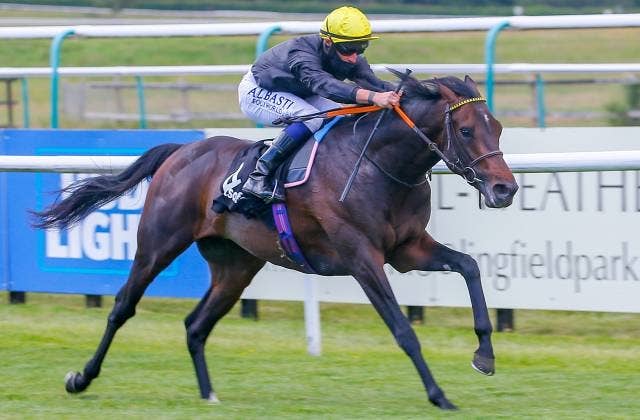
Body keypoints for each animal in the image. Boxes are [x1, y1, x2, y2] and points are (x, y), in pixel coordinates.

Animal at [32, 73, 518, 410]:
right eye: (468, 131)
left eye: (497, 128)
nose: (505, 189)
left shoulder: (408, 249)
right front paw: (439, 395)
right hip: (158, 243)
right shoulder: (362, 257)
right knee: (123, 306)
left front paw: (484, 355)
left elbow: (470, 267)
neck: (380, 165)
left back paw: (209, 395)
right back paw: (82, 378)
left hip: (236, 265)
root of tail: (181, 152)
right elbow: (403, 329)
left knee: (196, 324)